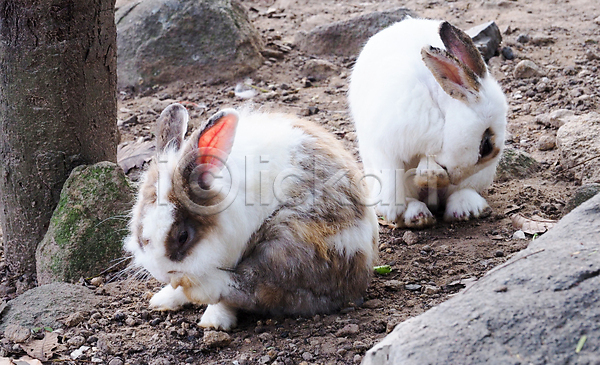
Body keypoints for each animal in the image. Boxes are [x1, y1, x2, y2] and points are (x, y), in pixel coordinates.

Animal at [123, 103, 378, 330]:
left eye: (183, 236)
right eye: (139, 232)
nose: (160, 272)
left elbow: (232, 293)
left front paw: (215, 321)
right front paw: (166, 297)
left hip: (293, 245)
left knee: (253, 286)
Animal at [350, 18, 508, 228]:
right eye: (487, 146)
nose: (454, 179)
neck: (441, 112)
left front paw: (432, 175)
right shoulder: (386, 146)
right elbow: (392, 176)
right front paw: (392, 210)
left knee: (460, 193)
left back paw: (464, 209)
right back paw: (417, 215)